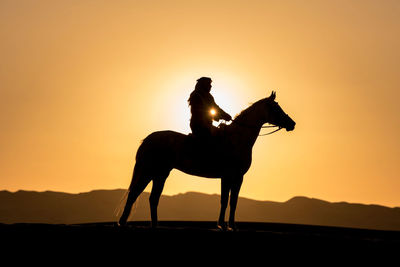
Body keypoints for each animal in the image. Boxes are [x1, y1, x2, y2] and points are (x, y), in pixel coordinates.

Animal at [117, 91, 296, 230]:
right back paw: (123, 223)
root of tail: (148, 139)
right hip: (149, 171)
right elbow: (230, 201)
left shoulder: (229, 178)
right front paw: (229, 225)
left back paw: (152, 225)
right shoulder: (234, 177)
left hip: (160, 174)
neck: (237, 139)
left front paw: (225, 225)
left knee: (152, 198)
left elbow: (227, 201)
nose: (292, 124)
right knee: (135, 194)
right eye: (276, 108)